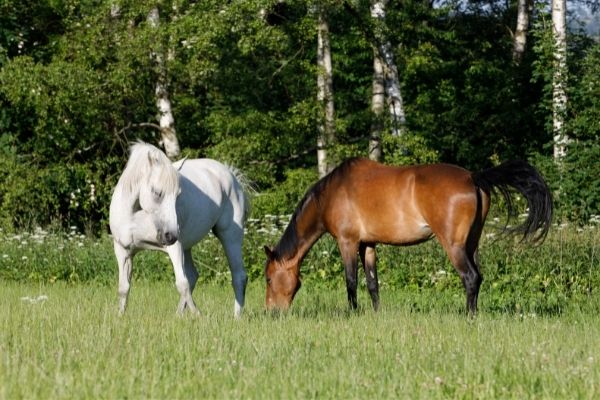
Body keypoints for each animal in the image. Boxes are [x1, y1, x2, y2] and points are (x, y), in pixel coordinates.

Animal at [110, 142, 251, 318]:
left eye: (178, 195)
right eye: (157, 192)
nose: (171, 235)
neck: (135, 215)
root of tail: (231, 175)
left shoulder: (174, 248)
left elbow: (182, 284)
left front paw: (198, 316)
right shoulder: (123, 251)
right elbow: (123, 287)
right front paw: (119, 316)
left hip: (230, 236)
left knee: (238, 276)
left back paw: (236, 317)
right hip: (187, 247)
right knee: (193, 276)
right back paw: (178, 315)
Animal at [264, 158, 552, 314]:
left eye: (268, 278)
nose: (271, 311)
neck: (332, 193)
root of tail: (474, 177)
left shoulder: (347, 242)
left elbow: (351, 282)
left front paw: (352, 313)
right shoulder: (368, 245)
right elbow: (373, 284)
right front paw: (375, 314)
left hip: (454, 246)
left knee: (470, 278)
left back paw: (468, 317)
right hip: (472, 244)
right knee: (478, 278)